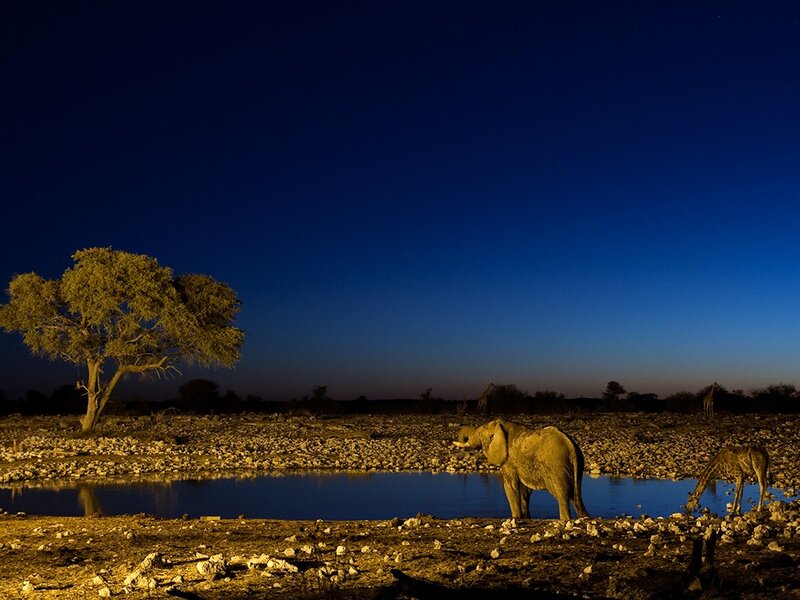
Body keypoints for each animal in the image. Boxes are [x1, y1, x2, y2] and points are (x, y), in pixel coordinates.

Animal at [453, 419, 589, 520]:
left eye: (480, 434)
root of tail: (571, 446)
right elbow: (525, 490)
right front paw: (525, 518)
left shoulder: (508, 461)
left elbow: (510, 486)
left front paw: (515, 518)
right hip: (578, 464)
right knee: (577, 495)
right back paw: (584, 518)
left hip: (556, 466)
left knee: (562, 494)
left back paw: (565, 520)